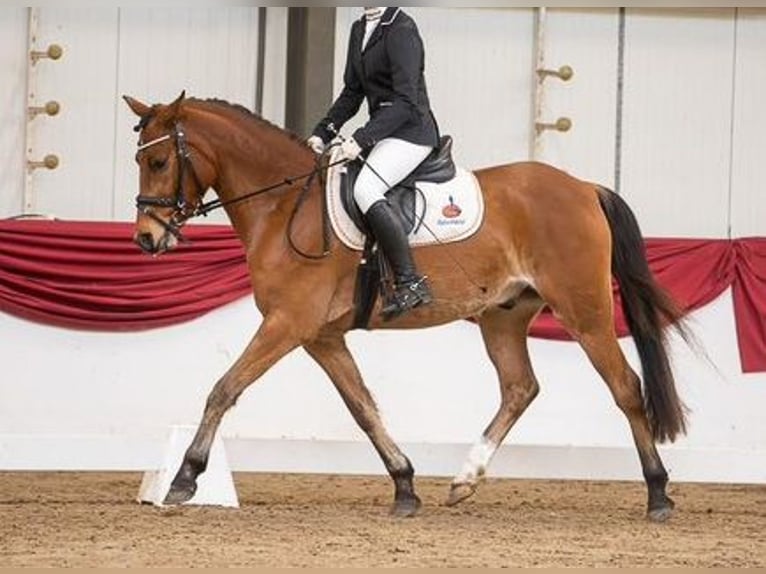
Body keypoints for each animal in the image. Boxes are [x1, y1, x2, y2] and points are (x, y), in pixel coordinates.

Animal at [123, 92, 692, 522]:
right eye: (138, 161)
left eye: (158, 161)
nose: (147, 239)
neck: (284, 206)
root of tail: (584, 188)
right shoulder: (321, 336)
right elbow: (364, 408)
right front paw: (404, 485)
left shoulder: (288, 324)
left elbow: (224, 389)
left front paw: (184, 478)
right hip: (503, 316)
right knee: (520, 388)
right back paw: (464, 479)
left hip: (585, 310)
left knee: (626, 387)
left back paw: (658, 494)